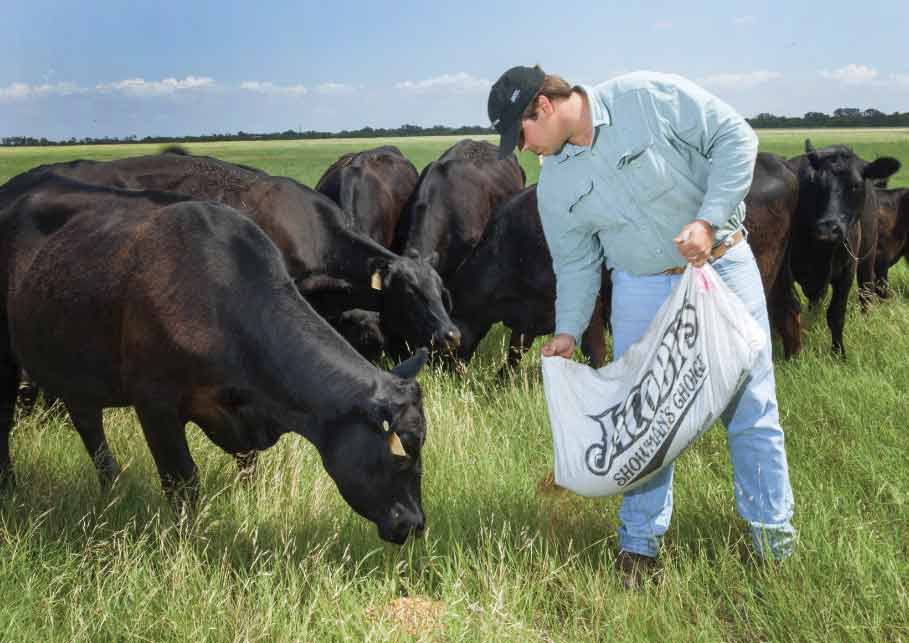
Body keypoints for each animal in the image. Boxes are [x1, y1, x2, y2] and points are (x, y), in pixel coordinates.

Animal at [0, 175, 430, 544]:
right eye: (402, 453)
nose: (416, 524)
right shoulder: (154, 403)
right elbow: (182, 482)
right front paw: (187, 542)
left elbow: (248, 463)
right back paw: (10, 489)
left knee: (88, 423)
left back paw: (113, 488)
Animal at [788, 140, 900, 358]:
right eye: (816, 183)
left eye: (855, 185)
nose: (828, 230)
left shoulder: (847, 270)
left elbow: (836, 313)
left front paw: (838, 353)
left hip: (868, 255)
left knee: (866, 290)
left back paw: (866, 321)